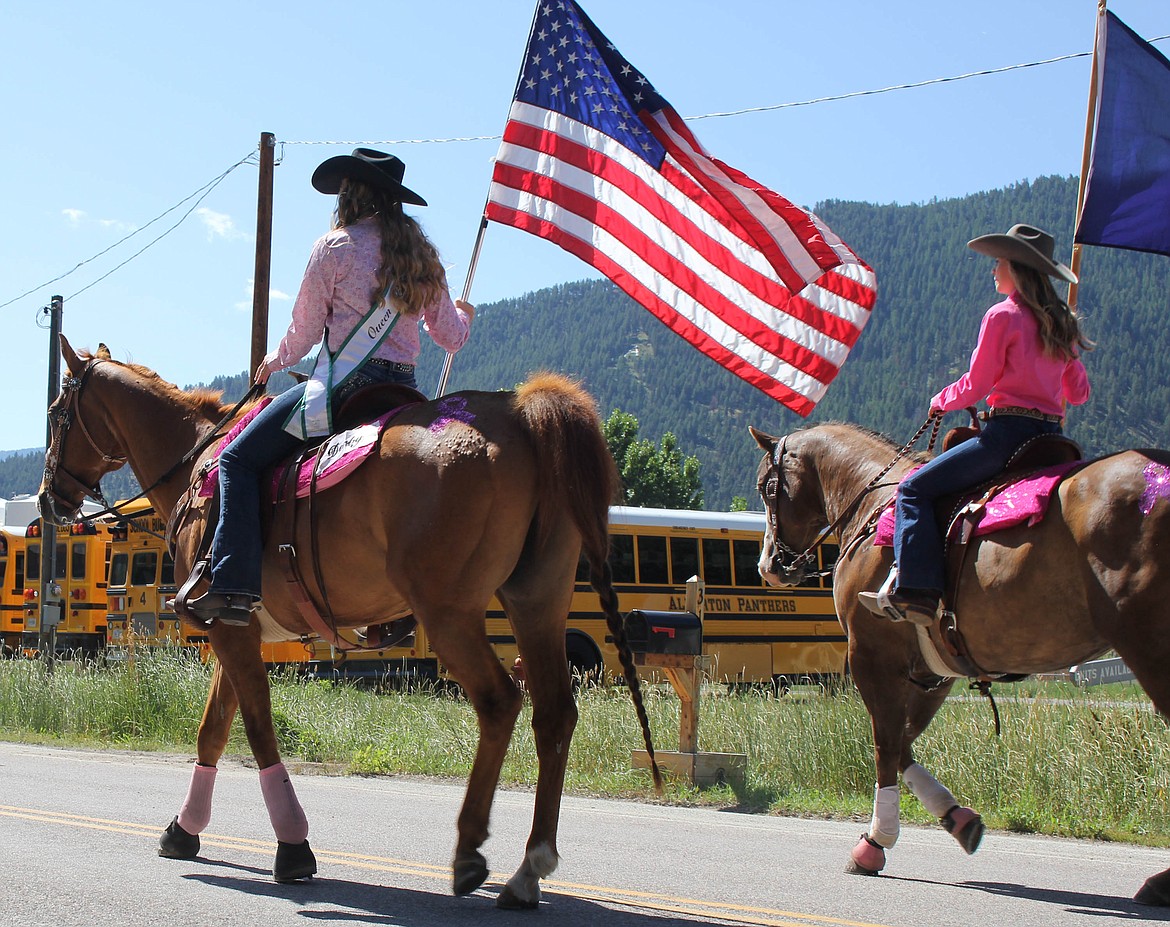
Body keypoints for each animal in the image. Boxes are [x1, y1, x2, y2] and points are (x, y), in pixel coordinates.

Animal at [36, 337, 659, 908]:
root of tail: (518, 414)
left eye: (57, 413)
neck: (199, 463)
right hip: (538, 602)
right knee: (554, 713)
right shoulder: (239, 626)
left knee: (501, 701)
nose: (48, 497)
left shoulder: (229, 630)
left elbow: (257, 728)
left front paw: (293, 847)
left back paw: (469, 852)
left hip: (451, 613)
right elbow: (213, 727)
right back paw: (529, 868)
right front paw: (183, 830)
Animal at [753, 423, 1170, 908]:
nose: (770, 565)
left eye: (767, 487)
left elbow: (886, 747)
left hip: (1148, 647)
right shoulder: (932, 674)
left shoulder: (871, 658)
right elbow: (904, 746)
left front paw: (875, 843)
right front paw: (957, 818)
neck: (875, 503)